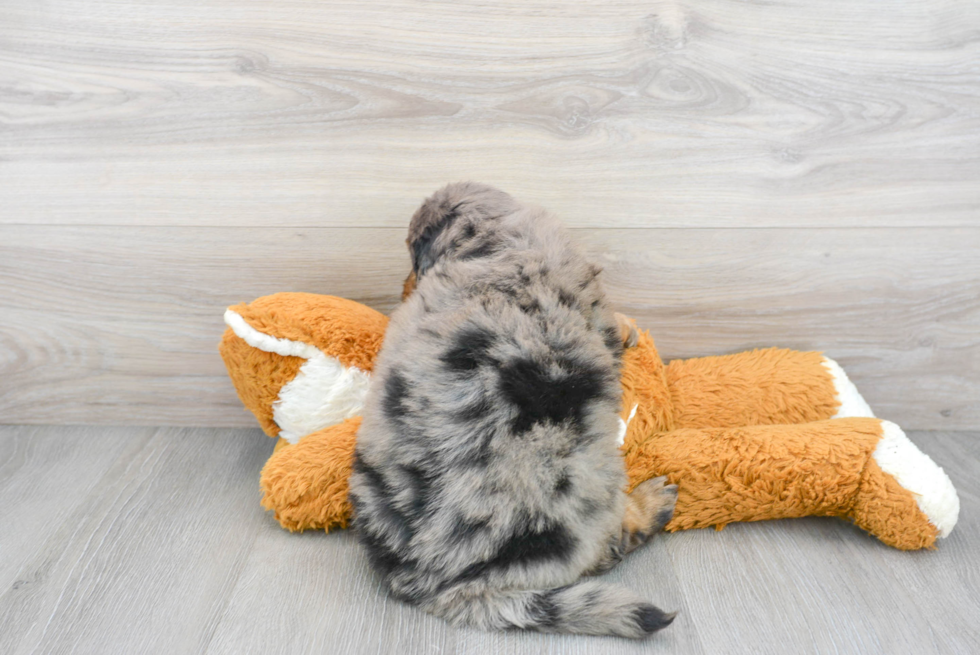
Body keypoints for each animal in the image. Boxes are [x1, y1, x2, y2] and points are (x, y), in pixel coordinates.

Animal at [352, 182, 680, 640]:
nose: (403, 288)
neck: (492, 243)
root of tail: (433, 584)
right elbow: (611, 322)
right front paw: (628, 325)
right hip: (588, 487)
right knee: (611, 544)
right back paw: (651, 504)